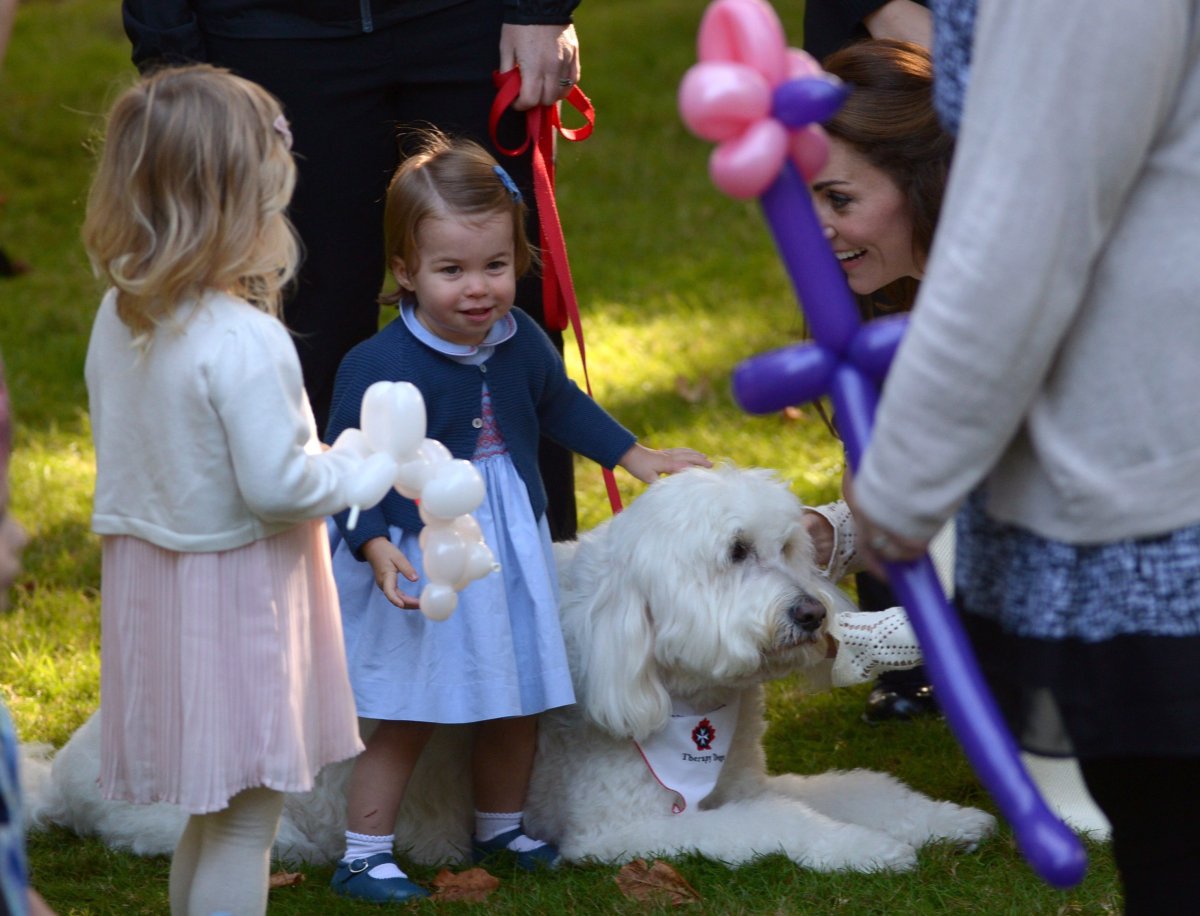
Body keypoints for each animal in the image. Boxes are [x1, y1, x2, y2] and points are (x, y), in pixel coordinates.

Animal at [25, 465, 993, 873]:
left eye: (794, 547)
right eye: (735, 554)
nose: (811, 614)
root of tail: (67, 768)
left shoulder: (741, 786)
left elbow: (858, 787)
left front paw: (943, 820)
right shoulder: (629, 830)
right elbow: (791, 823)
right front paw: (872, 850)